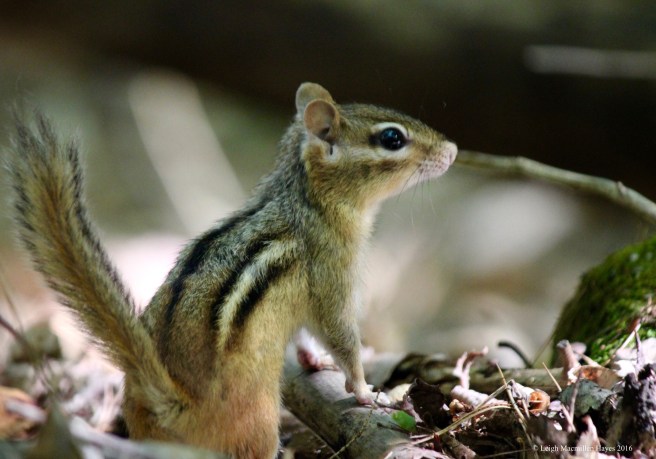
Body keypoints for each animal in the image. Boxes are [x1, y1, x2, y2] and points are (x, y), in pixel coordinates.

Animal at [8, 82, 457, 458]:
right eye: (392, 138)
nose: (452, 150)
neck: (305, 199)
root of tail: (172, 400)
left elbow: (306, 334)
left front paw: (314, 361)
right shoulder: (332, 271)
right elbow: (340, 335)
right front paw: (367, 392)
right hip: (259, 419)